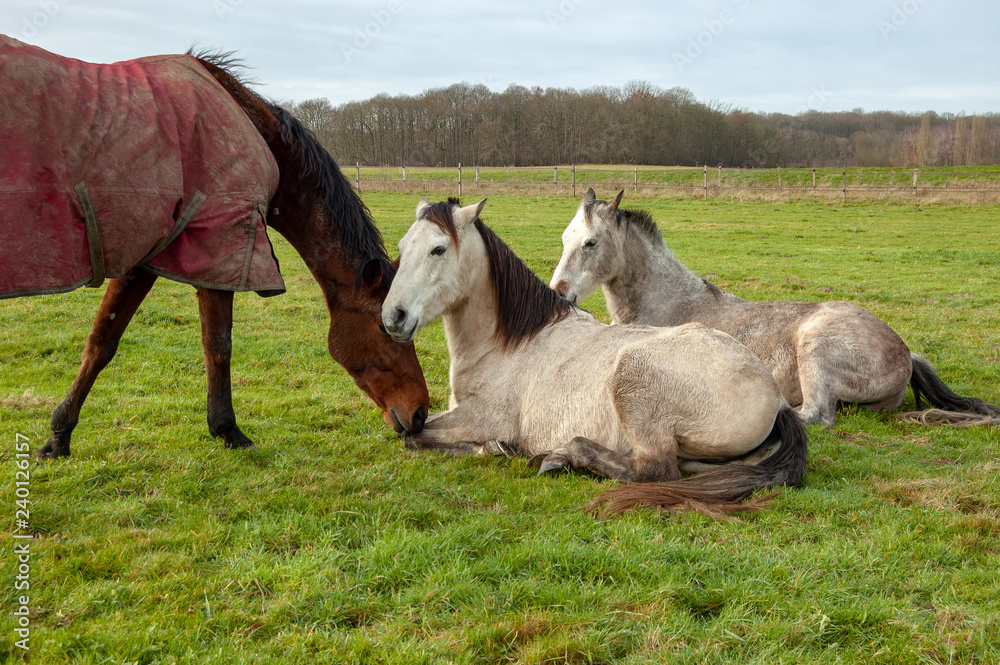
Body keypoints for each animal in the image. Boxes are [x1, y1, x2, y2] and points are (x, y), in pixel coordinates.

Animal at [0, 36, 429, 459]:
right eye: (386, 326)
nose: (421, 413)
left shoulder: (160, 260)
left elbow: (105, 342)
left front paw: (60, 435)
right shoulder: (218, 252)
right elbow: (213, 345)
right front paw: (228, 430)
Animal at [380, 197, 808, 517]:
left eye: (438, 249)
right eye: (401, 248)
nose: (392, 317)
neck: (506, 344)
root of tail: (775, 397)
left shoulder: (479, 418)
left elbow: (412, 436)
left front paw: (497, 448)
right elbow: (414, 432)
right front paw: (494, 449)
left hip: (632, 381)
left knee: (653, 469)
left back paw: (560, 456)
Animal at [549, 189, 1000, 428]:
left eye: (591, 242)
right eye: (564, 238)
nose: (559, 293)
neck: (669, 303)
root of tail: (906, 353)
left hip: (816, 349)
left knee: (815, 414)